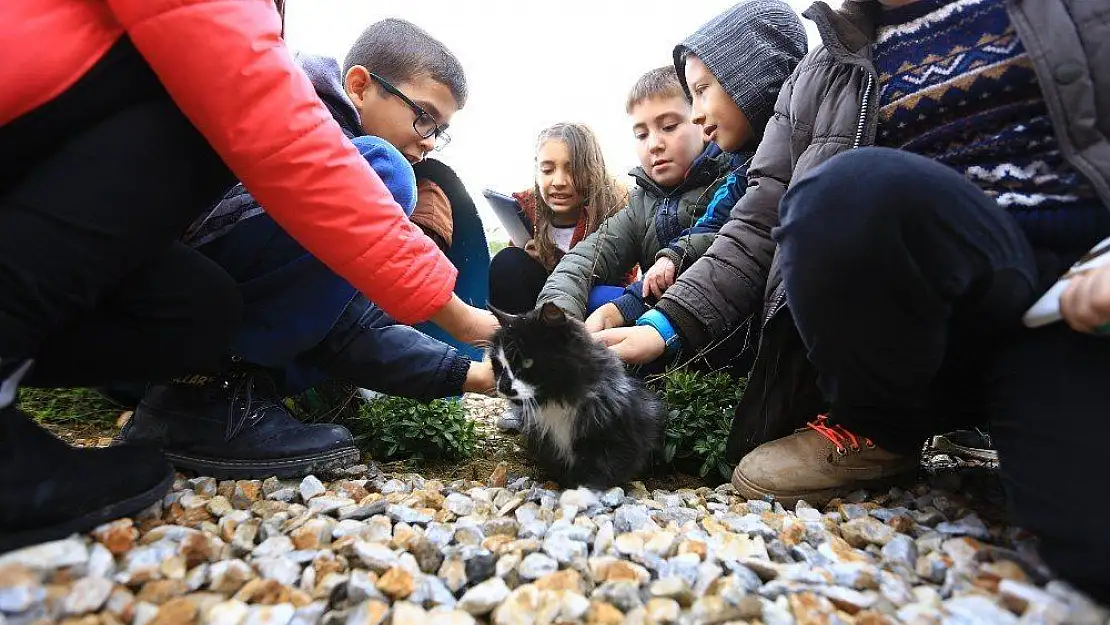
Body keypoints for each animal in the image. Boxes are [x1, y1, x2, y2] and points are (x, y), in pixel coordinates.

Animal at [490, 304, 661, 488]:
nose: (503, 386)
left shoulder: (614, 438)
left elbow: (602, 471)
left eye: (527, 362)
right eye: (498, 364)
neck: (558, 402)